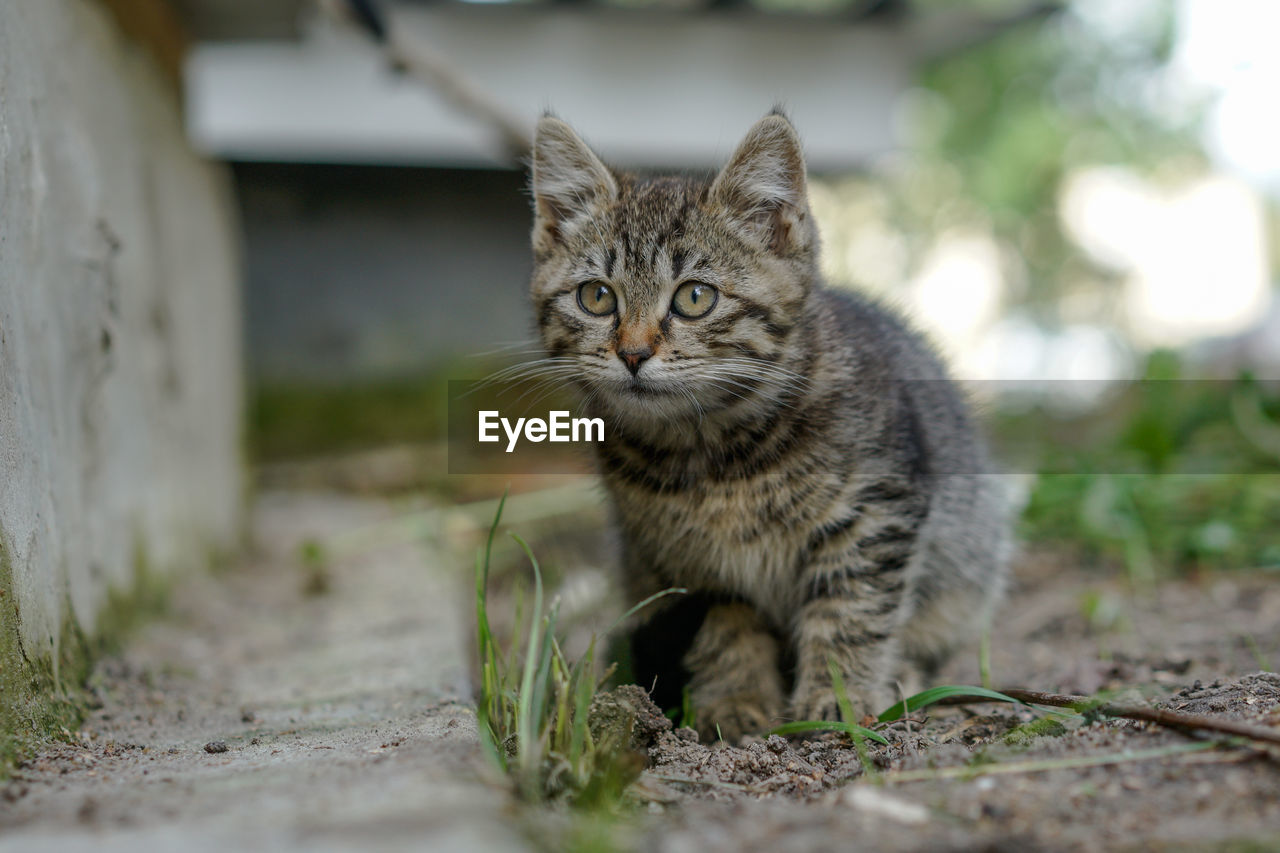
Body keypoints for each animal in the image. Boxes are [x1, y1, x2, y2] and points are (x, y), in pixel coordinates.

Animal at [527, 111, 1008, 737]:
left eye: (695, 297)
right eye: (596, 297)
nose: (632, 354)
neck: (711, 450)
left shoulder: (876, 511)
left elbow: (851, 607)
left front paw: (838, 698)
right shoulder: (683, 559)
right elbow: (724, 625)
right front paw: (736, 701)